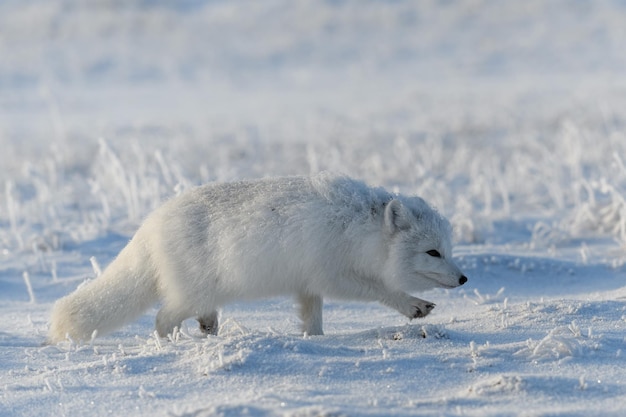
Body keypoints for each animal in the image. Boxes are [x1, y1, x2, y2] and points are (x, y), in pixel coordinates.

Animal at [47, 171, 464, 342]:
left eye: (449, 249)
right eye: (432, 252)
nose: (463, 279)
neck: (357, 225)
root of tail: (150, 224)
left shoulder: (308, 284)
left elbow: (312, 318)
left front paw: (315, 341)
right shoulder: (333, 275)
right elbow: (381, 290)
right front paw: (413, 306)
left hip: (203, 295)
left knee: (194, 316)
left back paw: (208, 331)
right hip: (192, 293)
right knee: (162, 319)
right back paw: (176, 344)